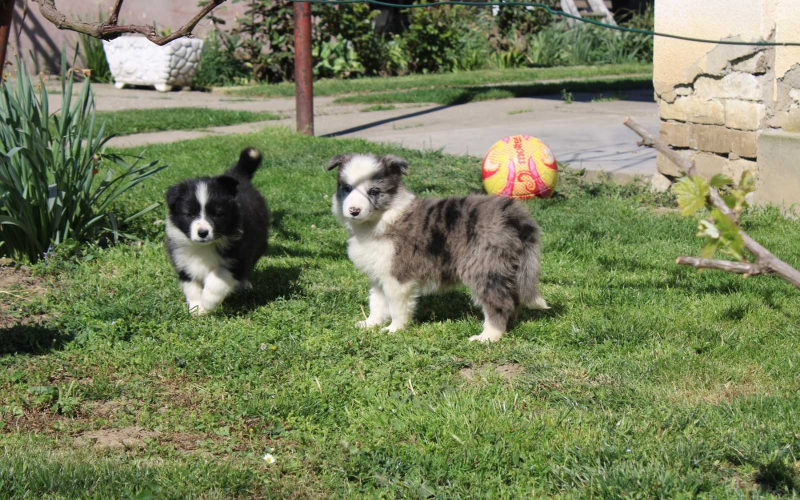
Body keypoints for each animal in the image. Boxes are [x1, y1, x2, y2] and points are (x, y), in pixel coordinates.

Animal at [166, 146, 272, 314]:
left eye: (216, 213)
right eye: (190, 214)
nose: (202, 233)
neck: (204, 247)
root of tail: (237, 177)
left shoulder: (238, 256)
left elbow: (218, 274)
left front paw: (208, 301)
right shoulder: (182, 261)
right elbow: (191, 284)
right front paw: (197, 308)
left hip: (258, 242)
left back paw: (243, 285)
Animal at [328, 153, 548, 344]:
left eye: (373, 191)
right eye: (347, 188)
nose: (354, 211)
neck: (382, 218)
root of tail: (513, 215)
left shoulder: (398, 276)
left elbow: (397, 306)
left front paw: (394, 330)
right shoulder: (378, 273)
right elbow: (377, 302)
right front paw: (370, 324)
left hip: (483, 267)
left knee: (498, 302)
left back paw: (488, 336)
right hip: (505, 267)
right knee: (512, 299)